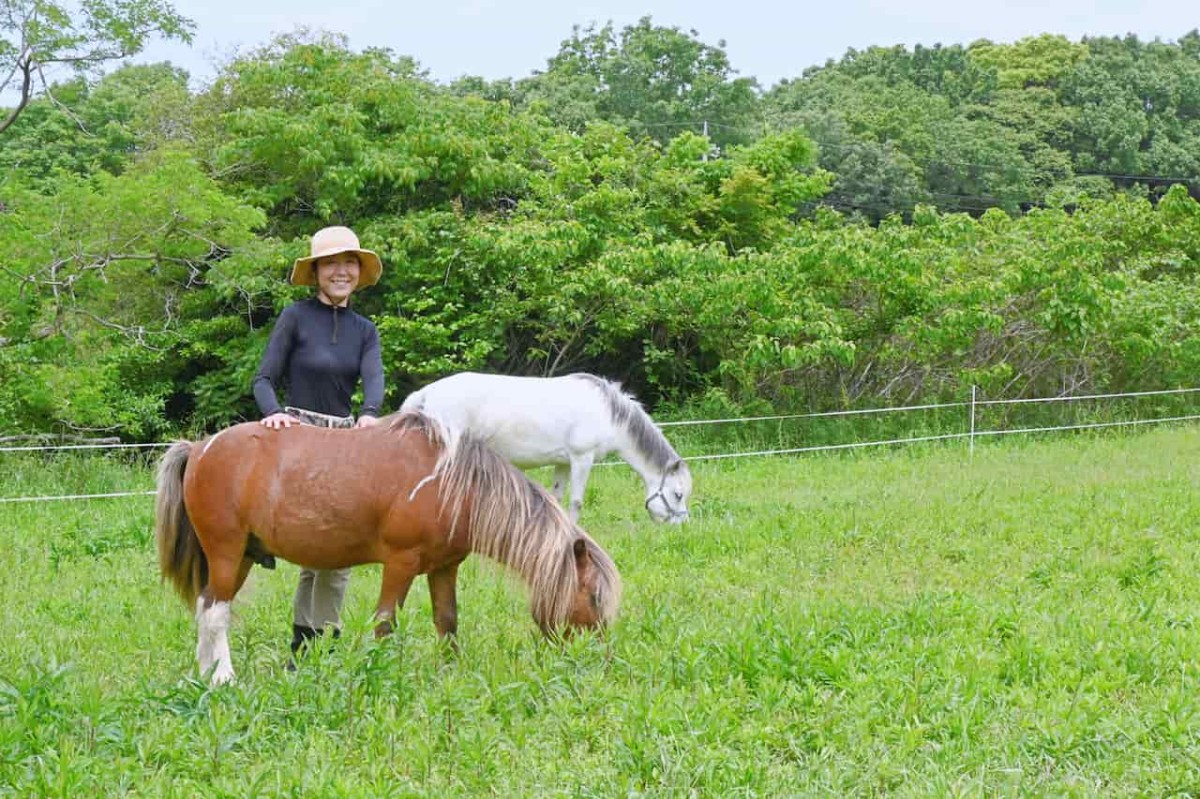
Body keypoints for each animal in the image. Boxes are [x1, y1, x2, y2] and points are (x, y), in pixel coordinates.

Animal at [152, 407, 619, 681]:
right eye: (594, 599)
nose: (597, 661)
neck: (452, 483)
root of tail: (199, 448)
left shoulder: (444, 567)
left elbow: (447, 620)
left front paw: (450, 674)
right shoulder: (400, 563)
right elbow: (385, 623)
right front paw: (382, 673)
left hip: (242, 557)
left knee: (207, 608)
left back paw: (206, 674)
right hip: (227, 552)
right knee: (216, 613)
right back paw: (224, 679)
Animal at [398, 371, 691, 523]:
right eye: (678, 494)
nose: (682, 523)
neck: (607, 414)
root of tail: (427, 393)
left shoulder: (563, 463)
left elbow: (557, 497)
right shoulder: (582, 459)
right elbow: (576, 501)